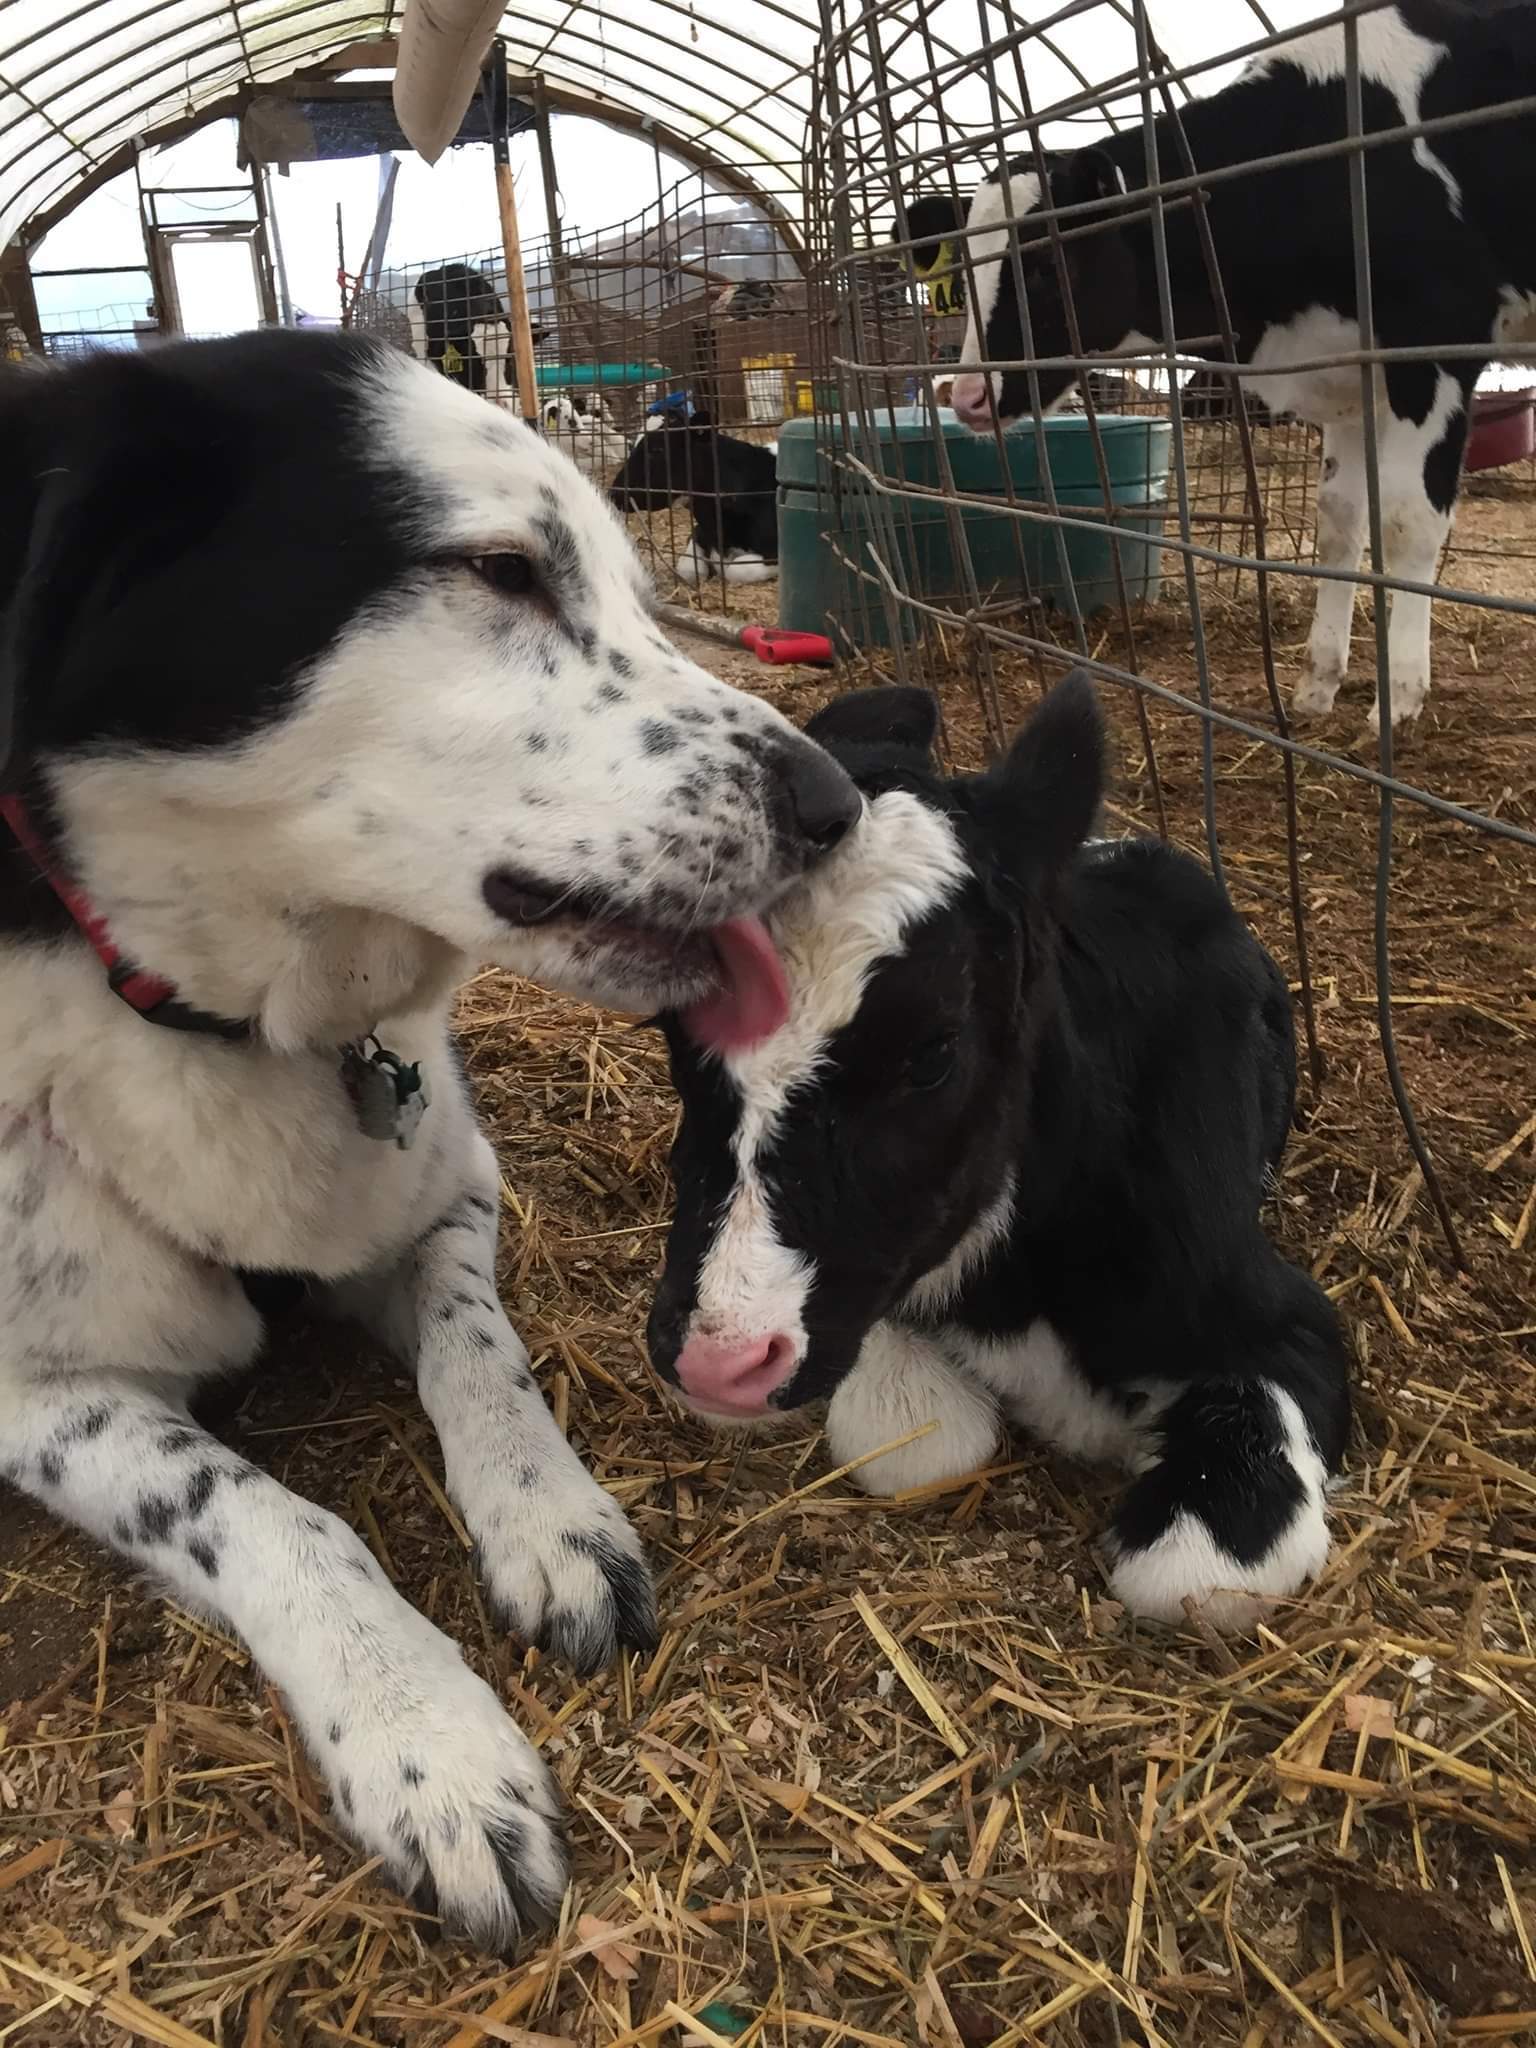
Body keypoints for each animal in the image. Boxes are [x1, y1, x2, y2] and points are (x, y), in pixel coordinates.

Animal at [610, 405, 782, 585]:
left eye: (657, 449)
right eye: (632, 447)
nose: (614, 492)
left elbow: (736, 570)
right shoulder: (700, 530)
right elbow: (688, 569)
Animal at [651, 679, 1359, 1622]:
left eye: (934, 1051)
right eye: (673, 1026)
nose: (715, 1362)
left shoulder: (1283, 1316)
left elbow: (1192, 1573)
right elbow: (918, 1442)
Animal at [909, 2, 1536, 729]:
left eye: (1045, 264)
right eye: (961, 270)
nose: (967, 397)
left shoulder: (1437, 342)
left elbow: (1407, 522)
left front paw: (1398, 699)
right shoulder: (1354, 368)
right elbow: (1340, 522)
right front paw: (1317, 685)